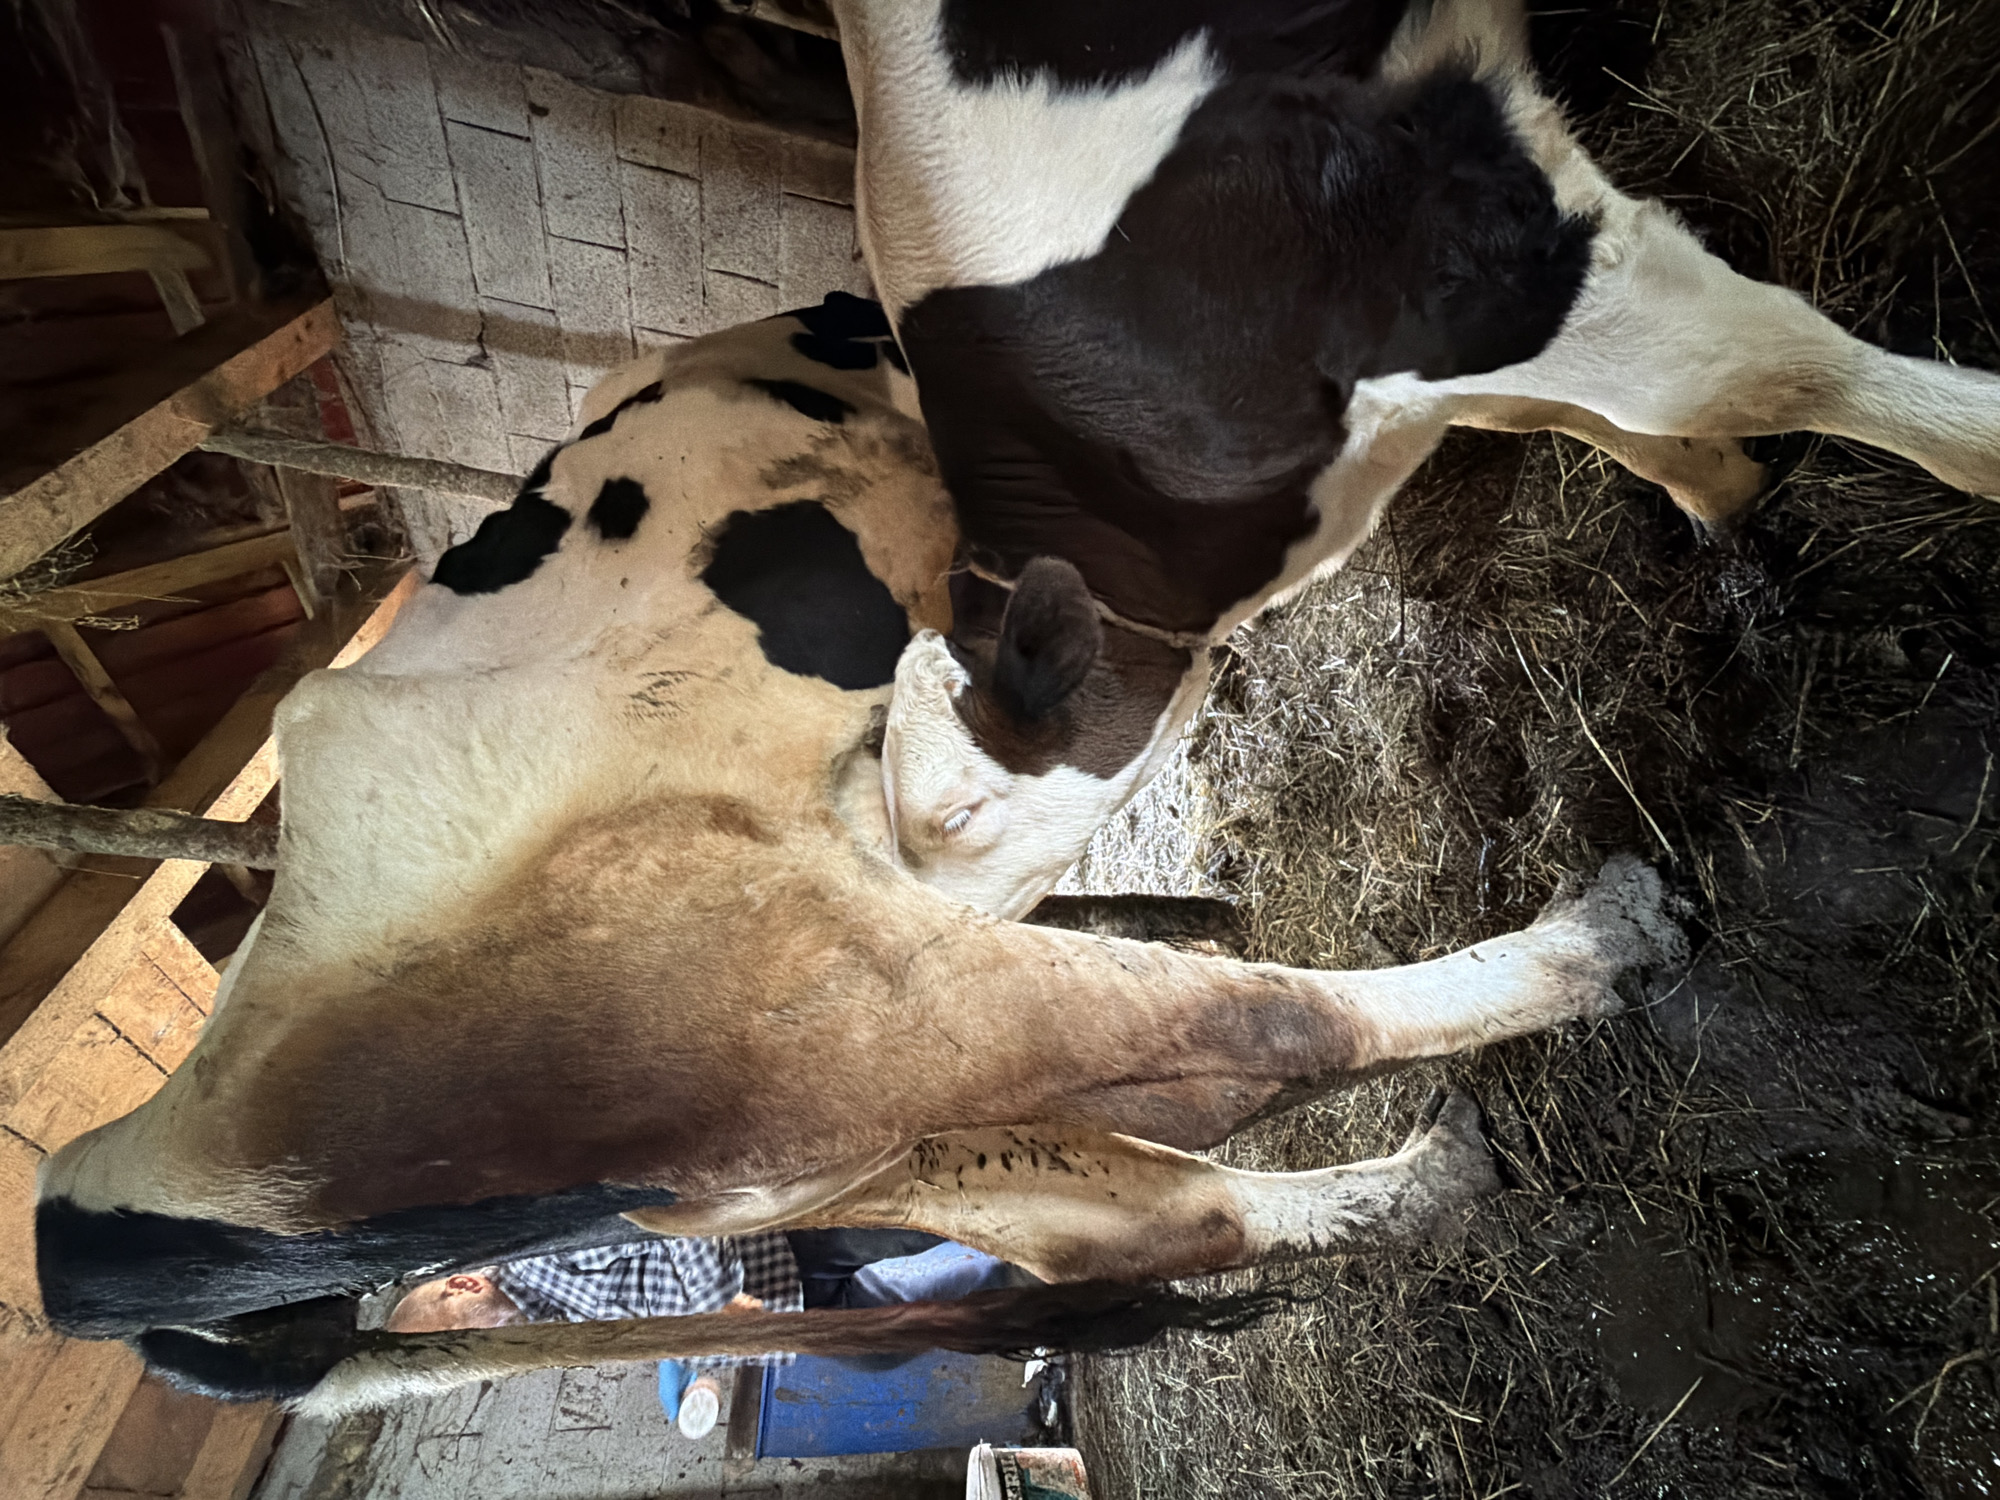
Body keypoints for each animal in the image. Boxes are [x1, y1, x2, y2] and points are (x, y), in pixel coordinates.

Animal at [34, 298, 1683, 1413]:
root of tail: (89, 1233)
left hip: (838, 1129)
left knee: (1140, 1212)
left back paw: (1426, 1175)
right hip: (834, 1004)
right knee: (1255, 1030)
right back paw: (1599, 936)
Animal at [837, 0, 2000, 916]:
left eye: (960, 812)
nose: (938, 935)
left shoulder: (1457, 252)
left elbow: (1753, 370)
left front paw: (1975, 440)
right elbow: (1571, 415)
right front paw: (1729, 498)